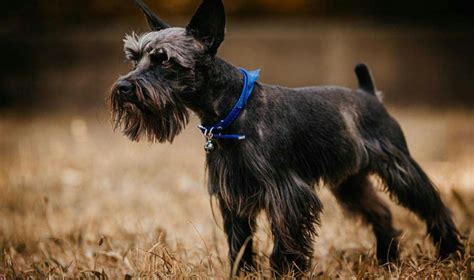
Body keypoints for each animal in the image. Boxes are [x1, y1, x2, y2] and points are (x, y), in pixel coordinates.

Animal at [108, 0, 462, 276]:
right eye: (134, 58)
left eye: (164, 59)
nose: (123, 87)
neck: (232, 110)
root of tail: (369, 93)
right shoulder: (233, 196)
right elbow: (240, 243)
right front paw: (243, 273)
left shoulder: (286, 195)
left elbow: (285, 243)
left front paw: (285, 271)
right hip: (349, 182)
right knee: (381, 212)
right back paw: (387, 261)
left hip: (399, 168)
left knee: (433, 206)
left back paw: (450, 252)